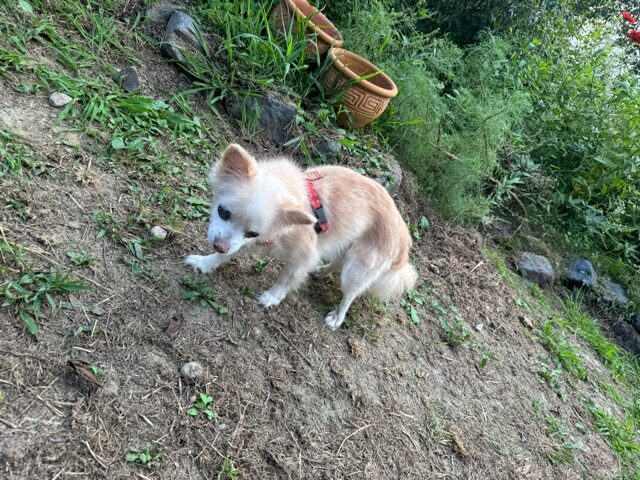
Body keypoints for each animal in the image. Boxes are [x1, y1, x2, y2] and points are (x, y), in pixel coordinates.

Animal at [185, 143, 417, 330]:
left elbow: (286, 278)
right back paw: (322, 271)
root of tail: (403, 235)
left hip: (357, 267)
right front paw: (205, 262)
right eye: (222, 212)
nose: (219, 245)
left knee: (350, 293)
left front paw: (273, 296)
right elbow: (226, 254)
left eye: (252, 232)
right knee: (338, 261)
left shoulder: (303, 255)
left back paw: (337, 317)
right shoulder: (238, 241)